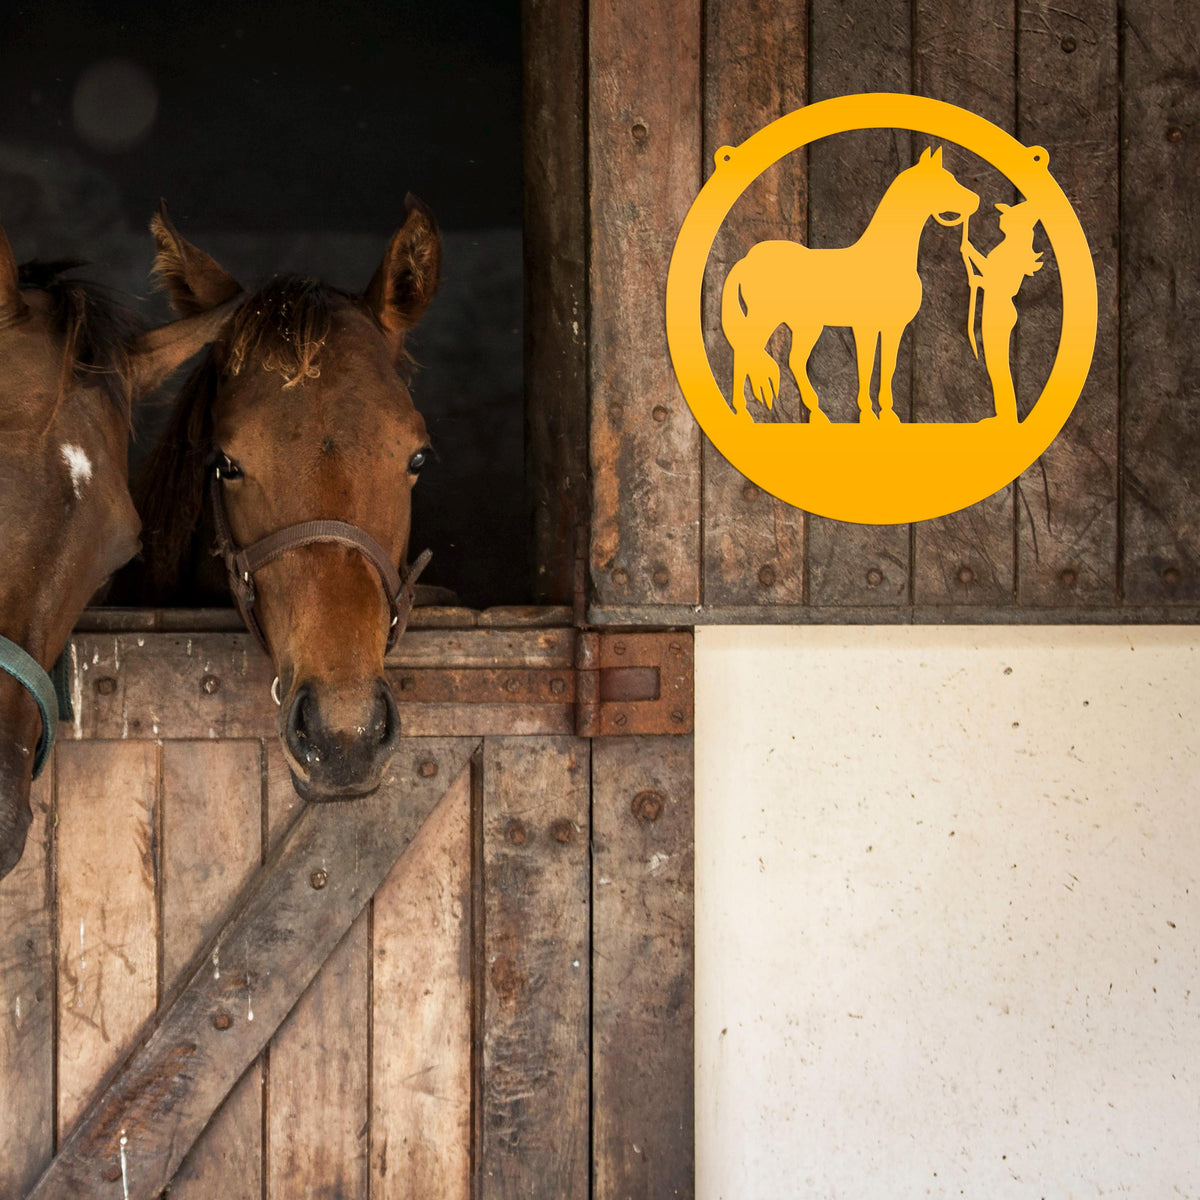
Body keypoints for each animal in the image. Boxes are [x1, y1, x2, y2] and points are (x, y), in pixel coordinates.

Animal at [722, 146, 981, 423]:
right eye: (945, 181)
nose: (976, 201)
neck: (887, 259)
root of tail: (747, 260)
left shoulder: (893, 327)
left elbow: (887, 367)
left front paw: (887, 415)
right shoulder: (864, 326)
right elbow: (866, 366)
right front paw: (867, 414)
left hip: (804, 325)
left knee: (792, 360)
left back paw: (815, 413)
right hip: (767, 318)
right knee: (746, 349)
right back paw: (742, 412)